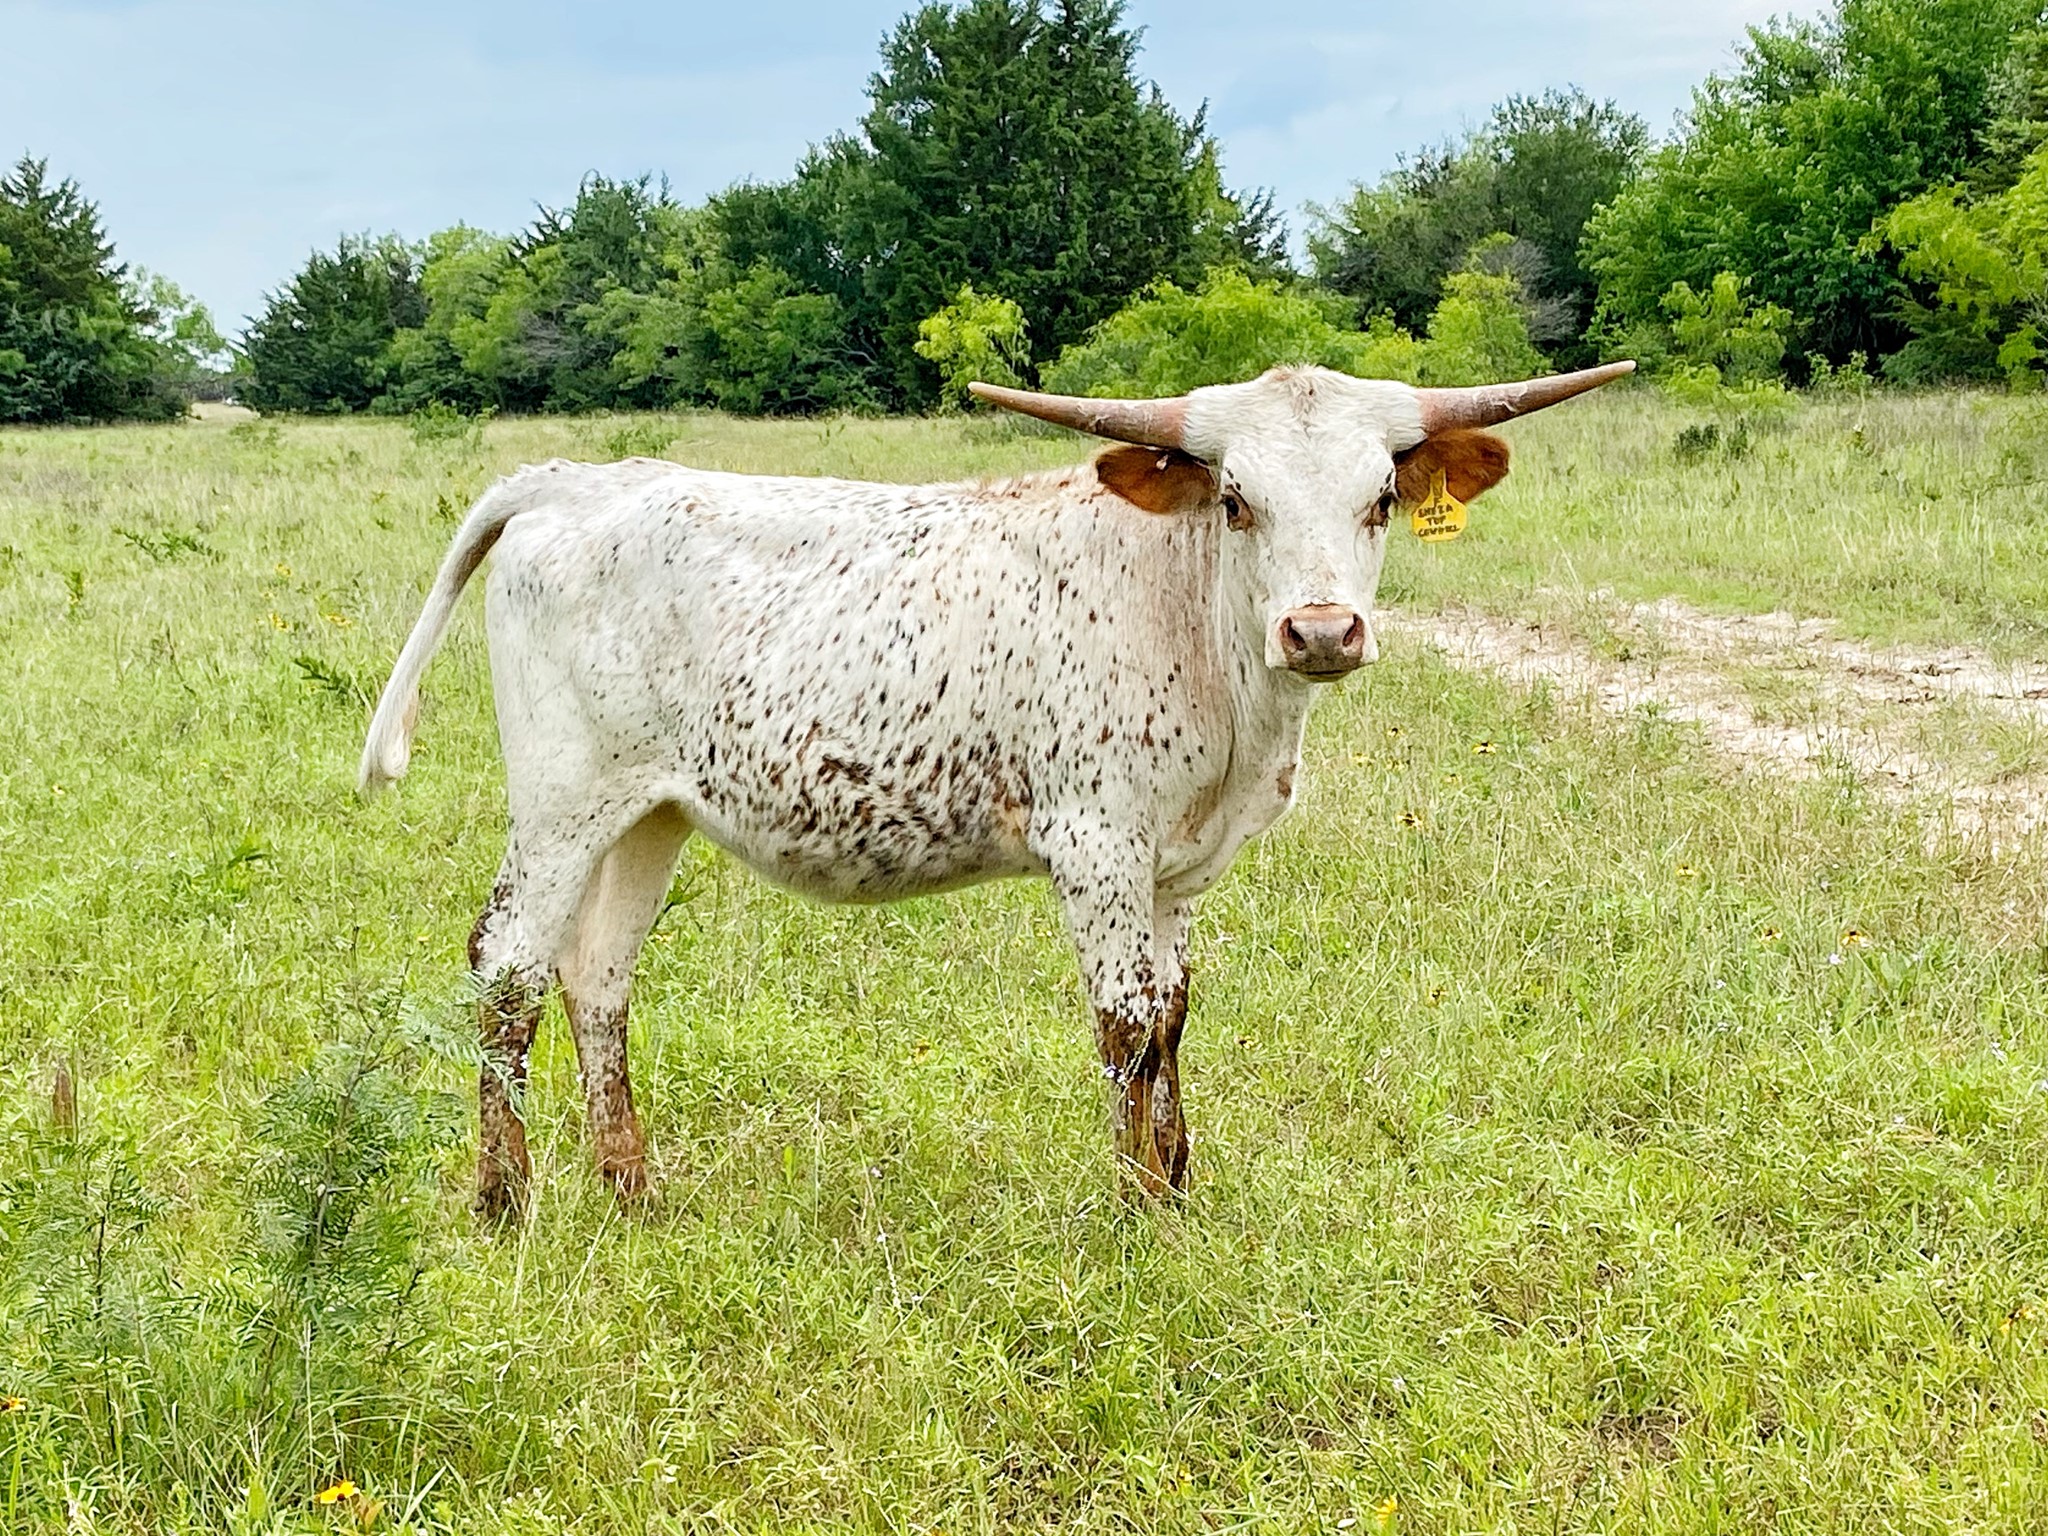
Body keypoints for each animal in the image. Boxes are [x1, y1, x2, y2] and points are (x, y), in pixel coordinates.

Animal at [358, 361, 1633, 1217]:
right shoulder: (1095, 840)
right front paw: (1136, 1212)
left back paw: (629, 1190)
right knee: (508, 969)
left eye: (1379, 499)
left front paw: (1178, 1183)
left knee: (597, 973)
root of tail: (567, 482)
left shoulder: (1178, 866)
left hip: (650, 810)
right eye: (1234, 500)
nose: (1320, 632)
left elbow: (1173, 1015)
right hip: (562, 798)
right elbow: (1123, 1022)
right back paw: (505, 1201)